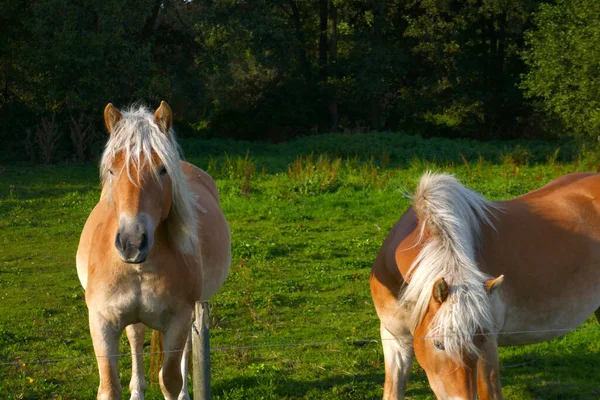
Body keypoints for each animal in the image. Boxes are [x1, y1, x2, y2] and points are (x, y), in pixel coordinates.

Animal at [77, 101, 232, 398]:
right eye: (112, 170)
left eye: (162, 170)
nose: (132, 243)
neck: (141, 267)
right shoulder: (101, 321)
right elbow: (109, 386)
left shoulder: (177, 320)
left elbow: (170, 380)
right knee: (136, 338)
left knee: (186, 349)